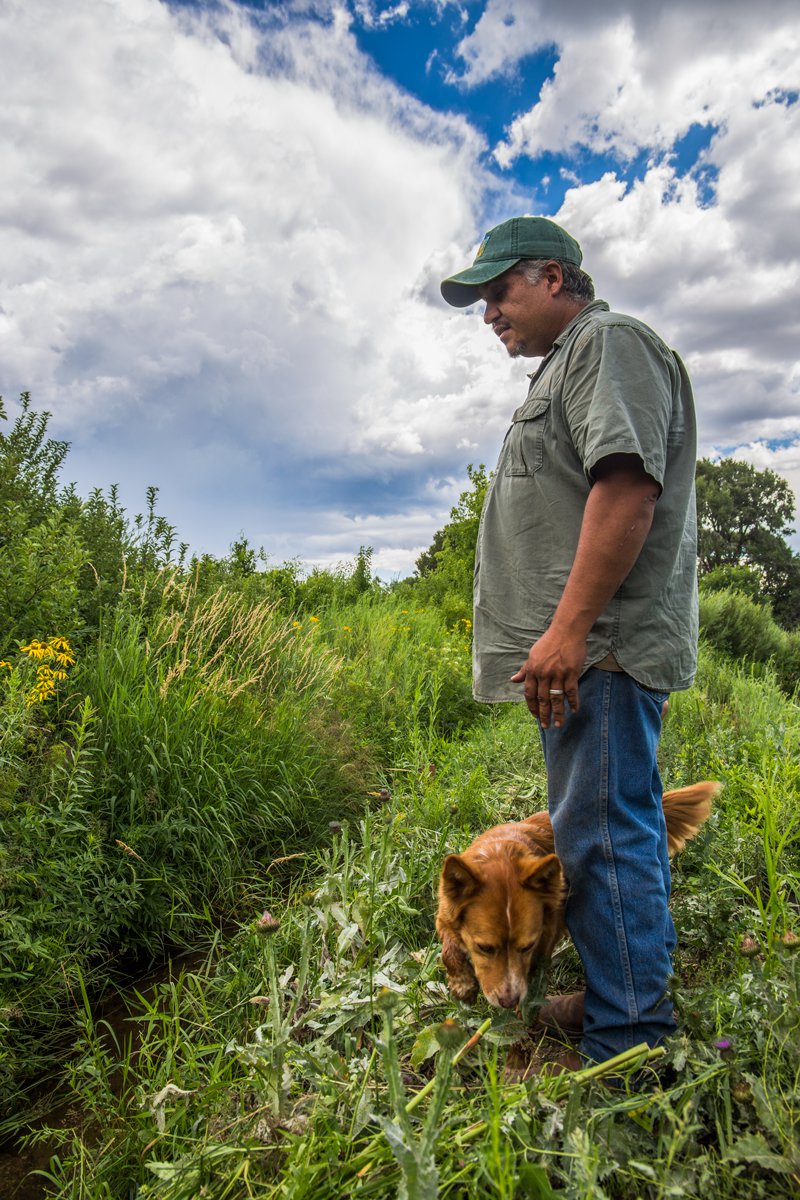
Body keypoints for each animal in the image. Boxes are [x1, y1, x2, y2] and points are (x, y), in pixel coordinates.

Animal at [438, 782, 719, 1008]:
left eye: (526, 946)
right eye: (484, 948)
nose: (509, 1001)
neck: (502, 855)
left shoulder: (548, 930)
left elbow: (536, 964)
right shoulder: (445, 912)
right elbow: (448, 949)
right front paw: (462, 984)